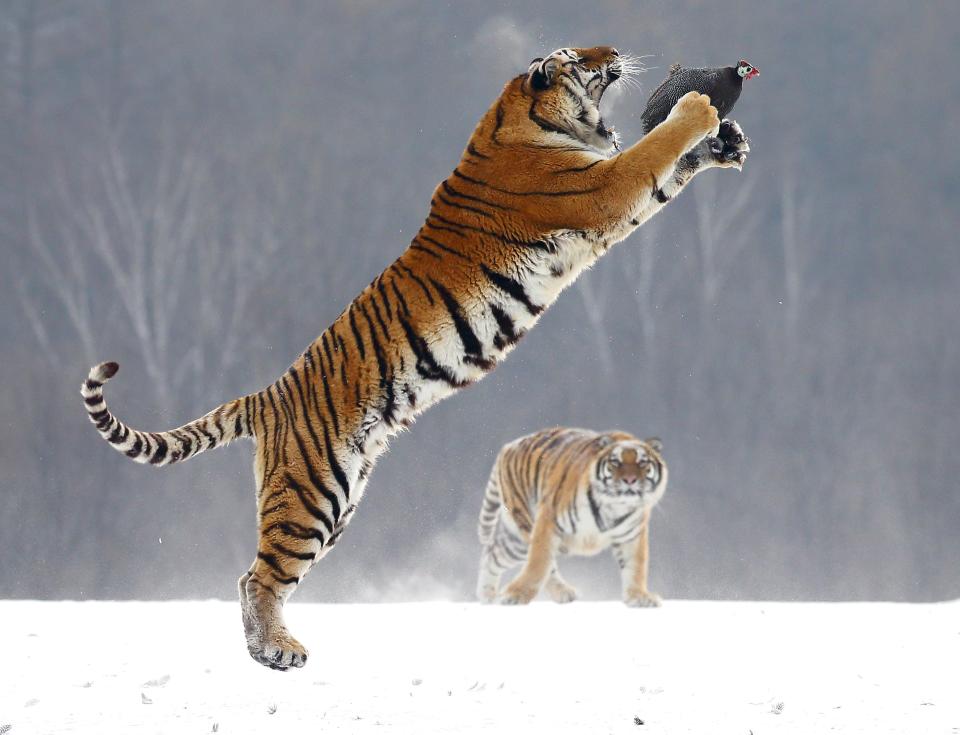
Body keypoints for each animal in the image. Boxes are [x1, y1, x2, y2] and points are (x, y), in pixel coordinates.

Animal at [474, 428, 668, 608]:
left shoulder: (632, 536)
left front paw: (639, 597)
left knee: (492, 554)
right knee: (540, 564)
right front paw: (515, 595)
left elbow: (636, 567)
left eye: (642, 462)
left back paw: (486, 596)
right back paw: (560, 592)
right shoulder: (548, 522)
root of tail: (508, 446)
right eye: (615, 462)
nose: (630, 480)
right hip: (526, 526)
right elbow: (538, 562)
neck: (613, 507)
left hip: (516, 543)